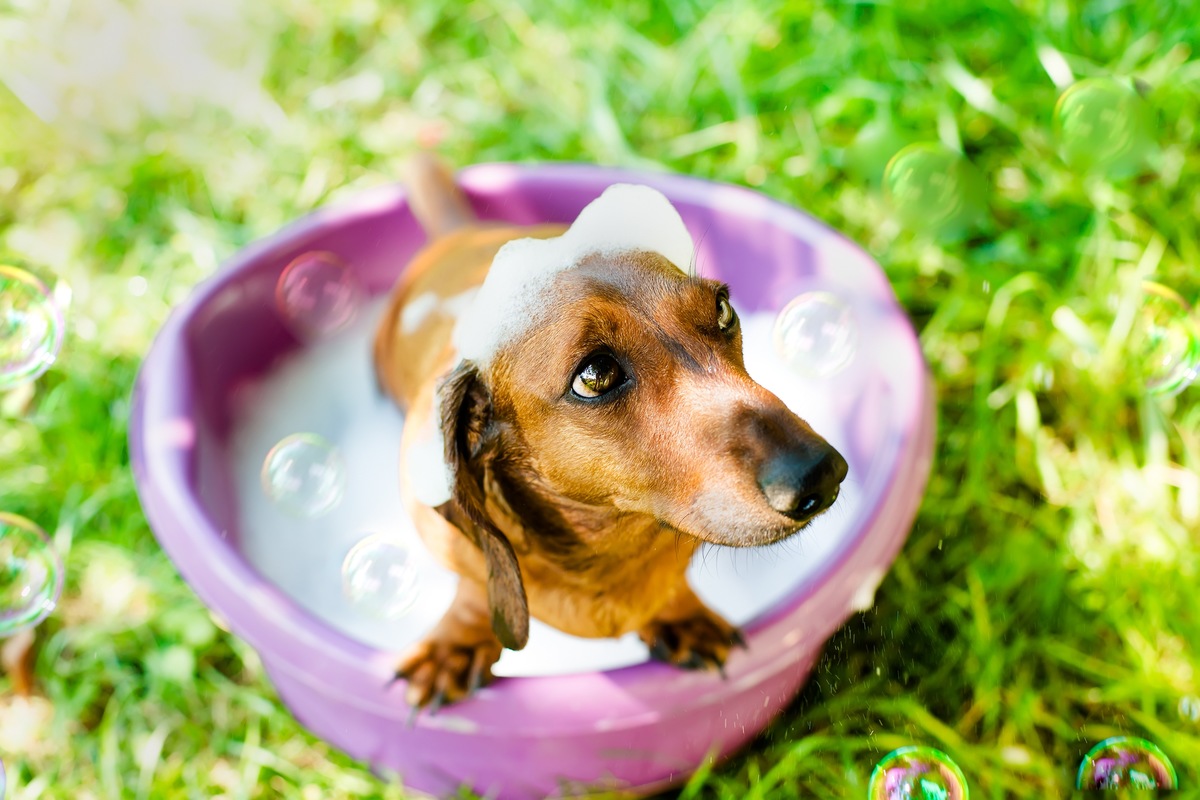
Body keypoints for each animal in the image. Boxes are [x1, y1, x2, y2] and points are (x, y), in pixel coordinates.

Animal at [369, 154, 849, 705]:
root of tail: (462, 233)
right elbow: (472, 588)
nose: (821, 474)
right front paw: (456, 644)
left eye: (723, 309)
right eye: (595, 374)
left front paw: (680, 614)